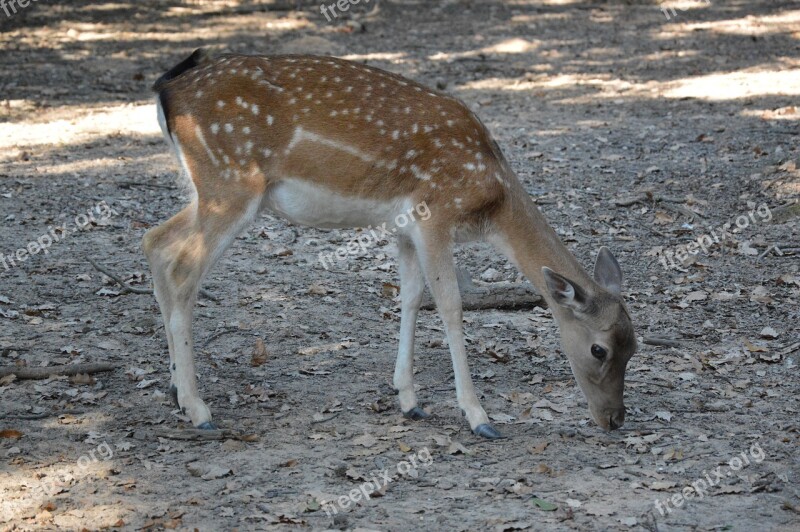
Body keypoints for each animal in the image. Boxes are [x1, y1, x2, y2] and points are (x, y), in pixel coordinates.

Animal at [145, 47, 636, 438]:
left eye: (635, 345)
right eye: (600, 349)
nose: (614, 419)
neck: (492, 201)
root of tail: (166, 91)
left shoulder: (404, 227)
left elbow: (411, 297)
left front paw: (409, 400)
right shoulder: (436, 212)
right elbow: (451, 304)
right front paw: (478, 416)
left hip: (209, 189)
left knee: (155, 241)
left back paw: (174, 388)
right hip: (230, 181)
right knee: (182, 268)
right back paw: (198, 409)